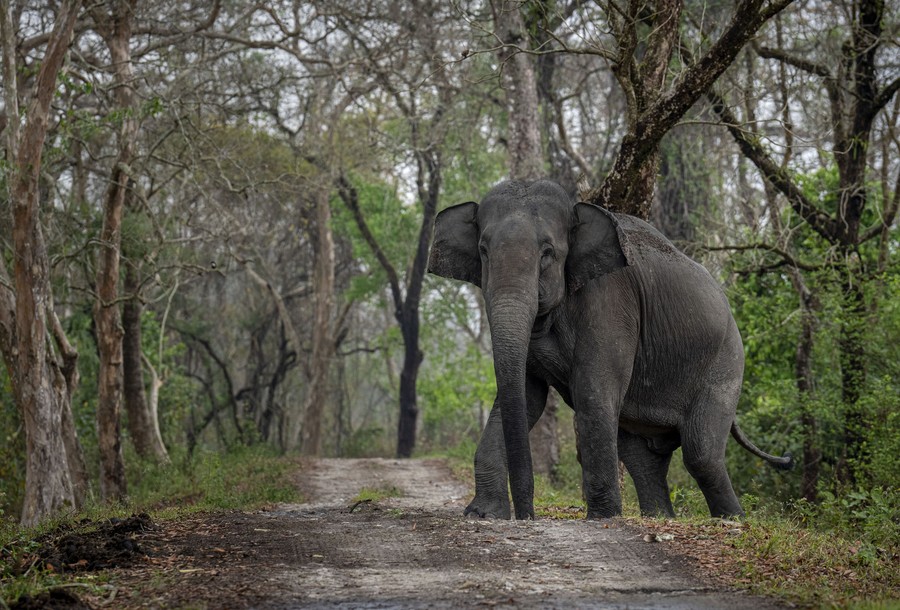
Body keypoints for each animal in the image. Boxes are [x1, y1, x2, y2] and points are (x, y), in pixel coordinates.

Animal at [428, 180, 792, 520]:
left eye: (548, 252)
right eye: (483, 251)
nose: (527, 514)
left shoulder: (610, 299)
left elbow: (592, 391)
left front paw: (603, 518)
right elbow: (527, 397)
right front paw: (483, 514)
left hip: (726, 363)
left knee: (701, 452)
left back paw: (732, 521)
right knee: (642, 457)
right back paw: (660, 517)